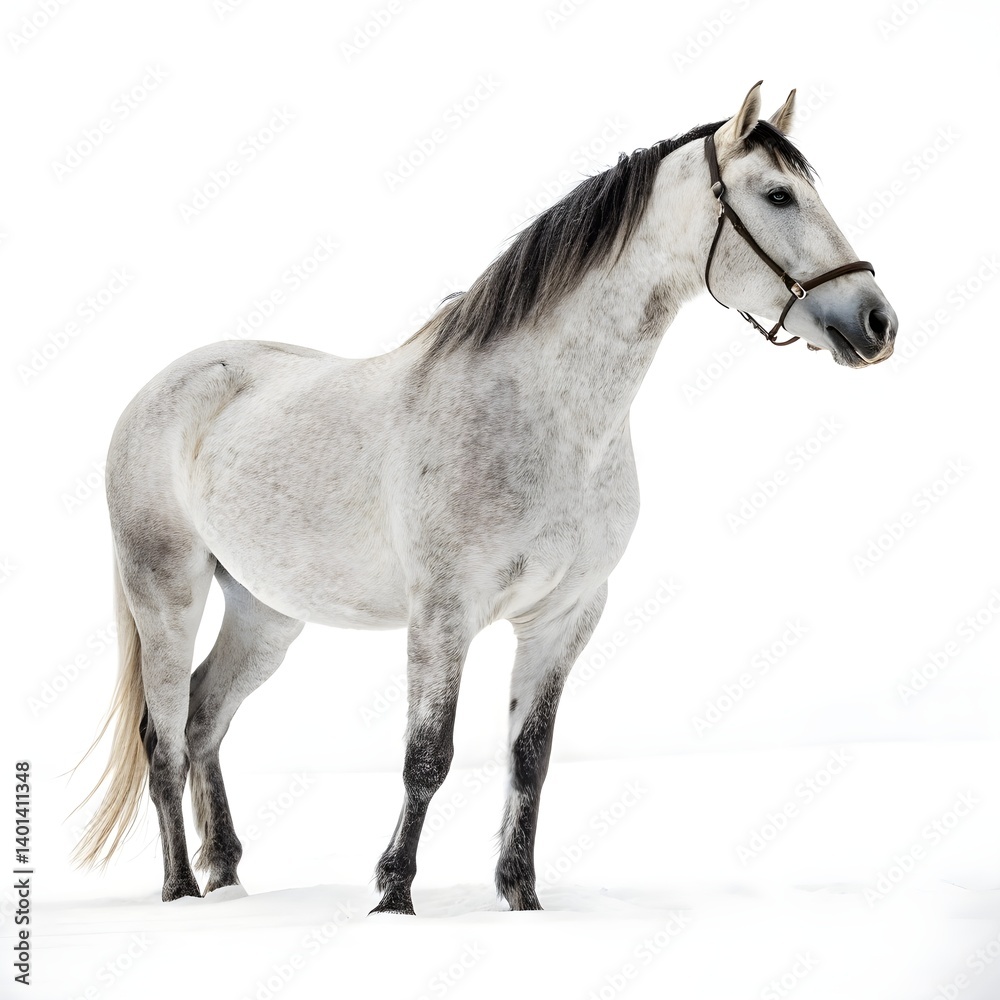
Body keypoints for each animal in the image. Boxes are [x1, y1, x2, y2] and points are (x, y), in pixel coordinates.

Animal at [73, 82, 897, 914]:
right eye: (778, 194)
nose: (876, 322)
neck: (544, 417)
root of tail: (159, 389)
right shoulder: (444, 614)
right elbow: (427, 757)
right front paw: (393, 897)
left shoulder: (565, 617)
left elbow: (529, 757)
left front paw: (521, 898)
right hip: (167, 595)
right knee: (166, 740)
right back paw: (182, 890)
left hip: (266, 613)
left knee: (206, 720)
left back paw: (228, 876)